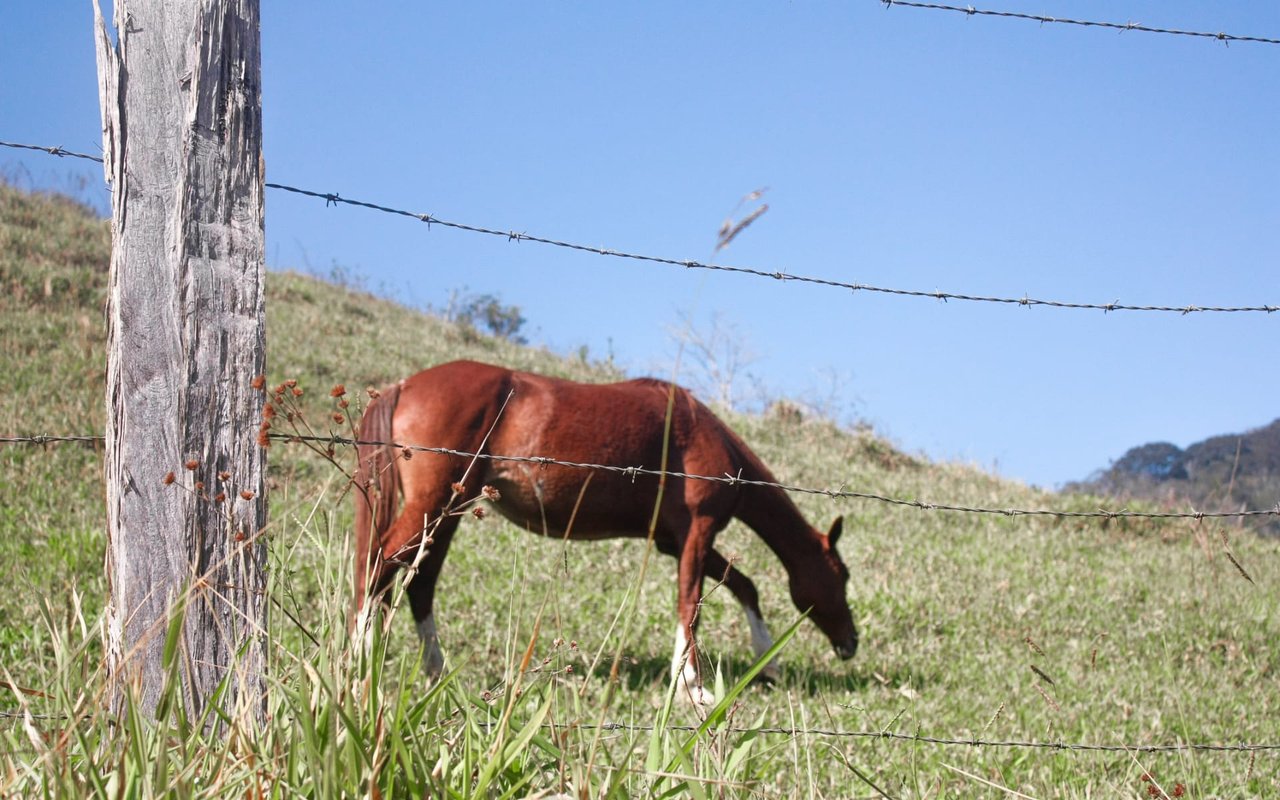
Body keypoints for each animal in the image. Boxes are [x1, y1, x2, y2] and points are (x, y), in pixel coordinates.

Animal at [358, 358, 860, 701]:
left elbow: (743, 586)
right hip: (432, 507)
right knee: (379, 568)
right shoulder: (698, 534)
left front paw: (764, 661)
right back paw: (362, 660)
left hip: (448, 511)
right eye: (843, 575)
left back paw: (435, 671)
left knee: (418, 584)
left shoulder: (674, 541)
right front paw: (692, 686)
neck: (702, 432)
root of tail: (404, 385)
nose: (852, 643)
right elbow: (691, 604)